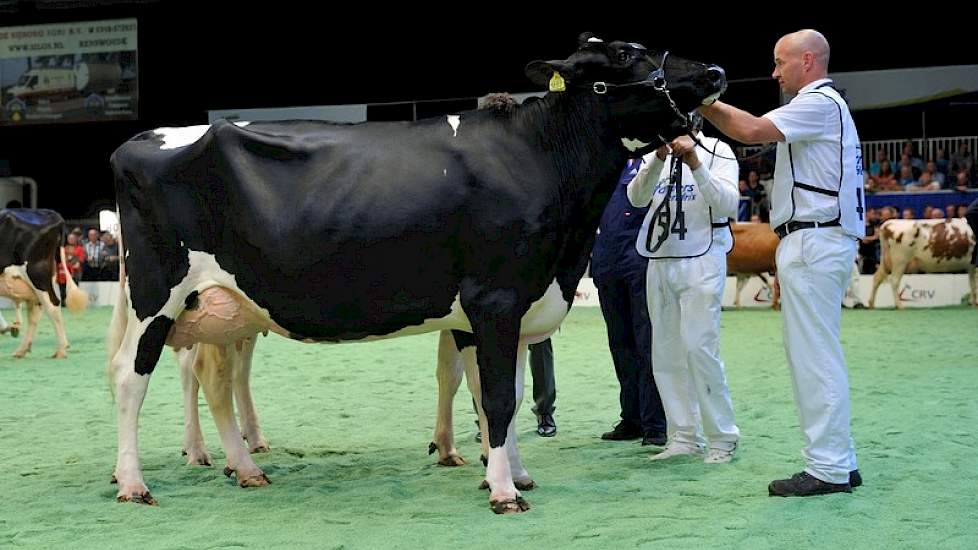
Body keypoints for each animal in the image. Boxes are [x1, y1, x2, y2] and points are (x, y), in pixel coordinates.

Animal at [0, 209, 86, 360]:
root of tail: (50, 213)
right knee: (35, 312)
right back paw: (21, 349)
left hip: (37, 274)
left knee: (52, 306)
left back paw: (61, 350)